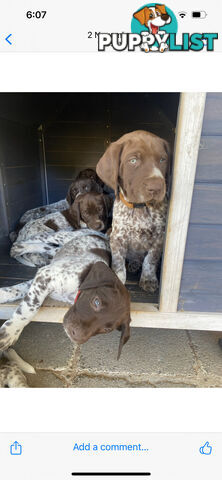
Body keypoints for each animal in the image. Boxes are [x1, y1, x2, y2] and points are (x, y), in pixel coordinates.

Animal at [0, 231, 132, 358]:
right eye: (96, 302)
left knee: (48, 248)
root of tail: (103, 236)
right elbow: (30, 309)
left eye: (107, 329)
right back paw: (18, 246)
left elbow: (19, 290)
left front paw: (2, 294)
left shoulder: (42, 280)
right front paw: (11, 331)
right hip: (62, 236)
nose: (76, 337)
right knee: (40, 238)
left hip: (59, 249)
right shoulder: (46, 275)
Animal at [96, 129, 171, 290]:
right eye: (133, 161)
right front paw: (117, 279)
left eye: (162, 159)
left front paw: (148, 279)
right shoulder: (117, 237)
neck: (140, 208)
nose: (156, 187)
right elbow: (118, 263)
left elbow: (151, 259)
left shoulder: (158, 238)